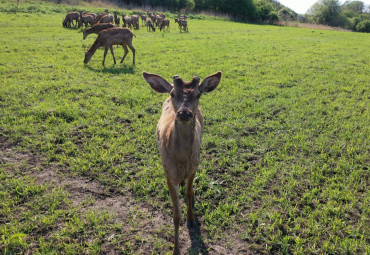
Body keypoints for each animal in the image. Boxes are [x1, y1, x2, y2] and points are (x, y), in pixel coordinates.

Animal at [142, 70, 223, 254]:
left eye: (198, 94)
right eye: (173, 93)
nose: (184, 113)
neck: (181, 161)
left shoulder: (194, 165)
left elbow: (188, 192)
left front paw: (191, 219)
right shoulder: (168, 173)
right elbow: (176, 215)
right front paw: (176, 250)